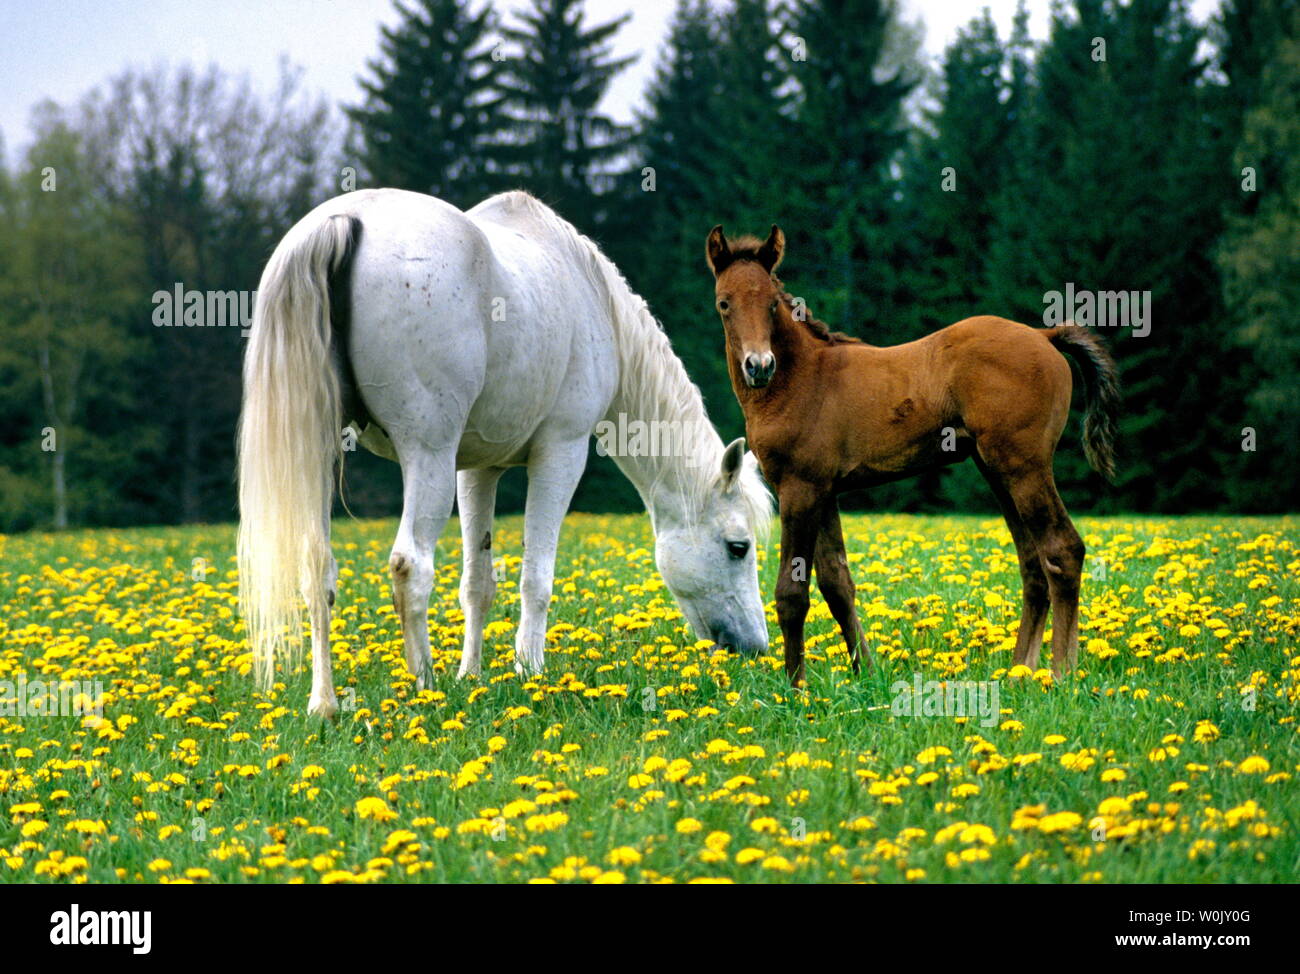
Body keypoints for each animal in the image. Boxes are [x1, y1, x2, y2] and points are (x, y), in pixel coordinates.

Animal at [236, 188, 769, 712]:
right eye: (738, 547)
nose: (756, 648)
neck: (591, 294)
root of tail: (346, 218)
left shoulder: (477, 470)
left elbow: (478, 583)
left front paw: (471, 674)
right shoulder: (560, 454)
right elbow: (537, 577)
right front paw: (530, 672)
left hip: (323, 459)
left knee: (316, 568)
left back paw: (324, 704)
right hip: (427, 454)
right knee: (410, 565)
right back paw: (425, 689)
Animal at [707, 224, 1123, 686]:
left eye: (772, 302)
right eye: (724, 303)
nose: (759, 366)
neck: (800, 379)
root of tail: (1043, 335)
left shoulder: (799, 489)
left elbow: (792, 593)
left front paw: (796, 687)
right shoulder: (825, 491)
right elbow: (837, 583)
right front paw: (866, 675)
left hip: (1024, 466)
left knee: (1062, 550)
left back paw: (1061, 674)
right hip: (996, 469)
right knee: (1032, 564)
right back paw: (1018, 672)